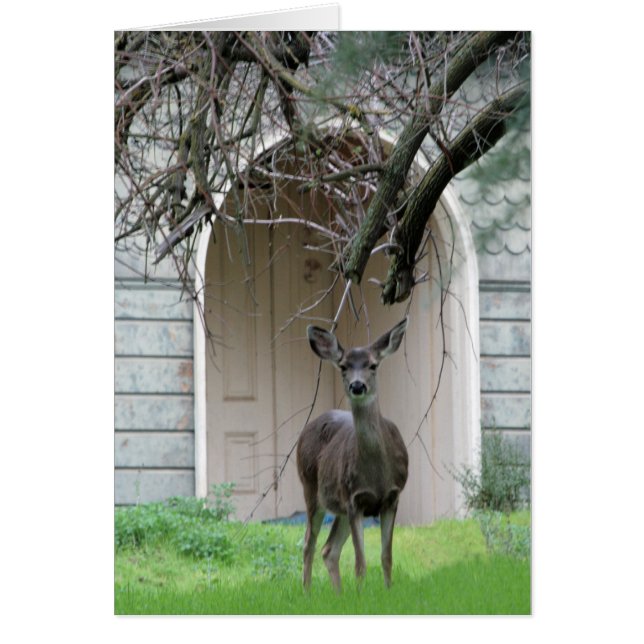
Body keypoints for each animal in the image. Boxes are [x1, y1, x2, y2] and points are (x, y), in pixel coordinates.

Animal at [296, 318, 409, 592]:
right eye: (344, 366)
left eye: (373, 365)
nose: (357, 385)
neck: (376, 475)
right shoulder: (353, 500)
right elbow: (361, 563)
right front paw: (360, 595)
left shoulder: (393, 497)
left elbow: (386, 557)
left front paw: (387, 591)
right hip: (312, 490)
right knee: (309, 544)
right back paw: (307, 592)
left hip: (338, 509)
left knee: (329, 550)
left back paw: (338, 594)